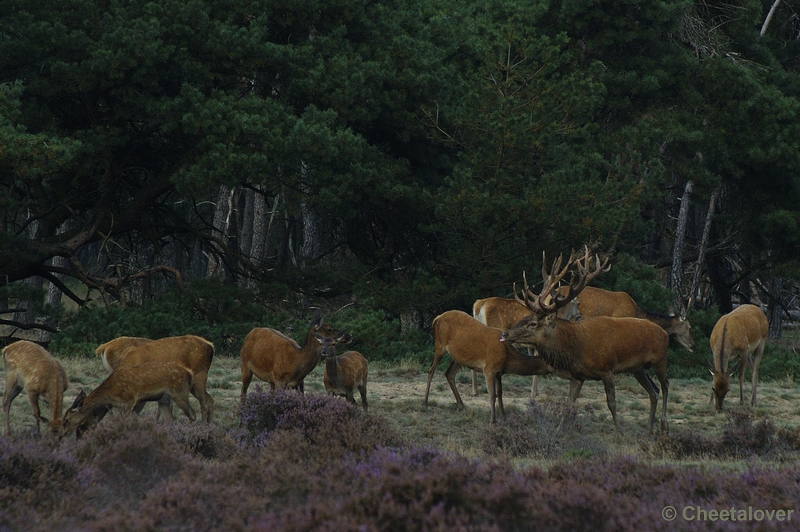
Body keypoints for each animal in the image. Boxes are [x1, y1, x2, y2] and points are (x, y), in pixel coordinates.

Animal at [60, 362, 195, 440]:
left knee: (192, 414)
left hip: (179, 391)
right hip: (163, 399)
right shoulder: (118, 405)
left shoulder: (129, 400)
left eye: (66, 420)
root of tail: (189, 372)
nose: (63, 434)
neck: (110, 392)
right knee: (169, 419)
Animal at [424, 308, 576, 424]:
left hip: (459, 357)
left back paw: (462, 406)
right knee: (431, 370)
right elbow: (492, 395)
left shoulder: (499, 372)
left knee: (449, 373)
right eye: (557, 364)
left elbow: (500, 393)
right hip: (439, 345)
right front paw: (493, 421)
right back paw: (425, 401)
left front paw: (503, 417)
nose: (571, 374)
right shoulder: (489, 369)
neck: (507, 357)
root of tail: (436, 318)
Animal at [500, 247, 668, 434]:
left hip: (660, 359)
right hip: (639, 368)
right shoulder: (578, 375)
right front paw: (558, 430)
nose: (505, 334)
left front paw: (620, 432)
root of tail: (664, 332)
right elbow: (569, 404)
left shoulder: (607, 369)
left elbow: (612, 403)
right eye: (525, 317)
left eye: (533, 323)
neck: (577, 347)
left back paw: (663, 425)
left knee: (665, 386)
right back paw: (649, 429)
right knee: (654, 391)